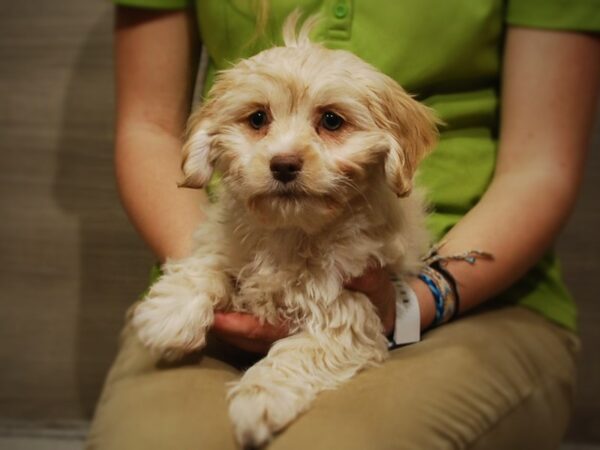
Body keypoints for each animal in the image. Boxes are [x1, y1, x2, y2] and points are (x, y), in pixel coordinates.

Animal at [132, 13, 436, 446]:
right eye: (258, 118)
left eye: (331, 120)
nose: (284, 164)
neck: (290, 228)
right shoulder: (225, 242)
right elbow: (208, 264)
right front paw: (168, 313)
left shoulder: (350, 304)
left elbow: (300, 352)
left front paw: (257, 399)